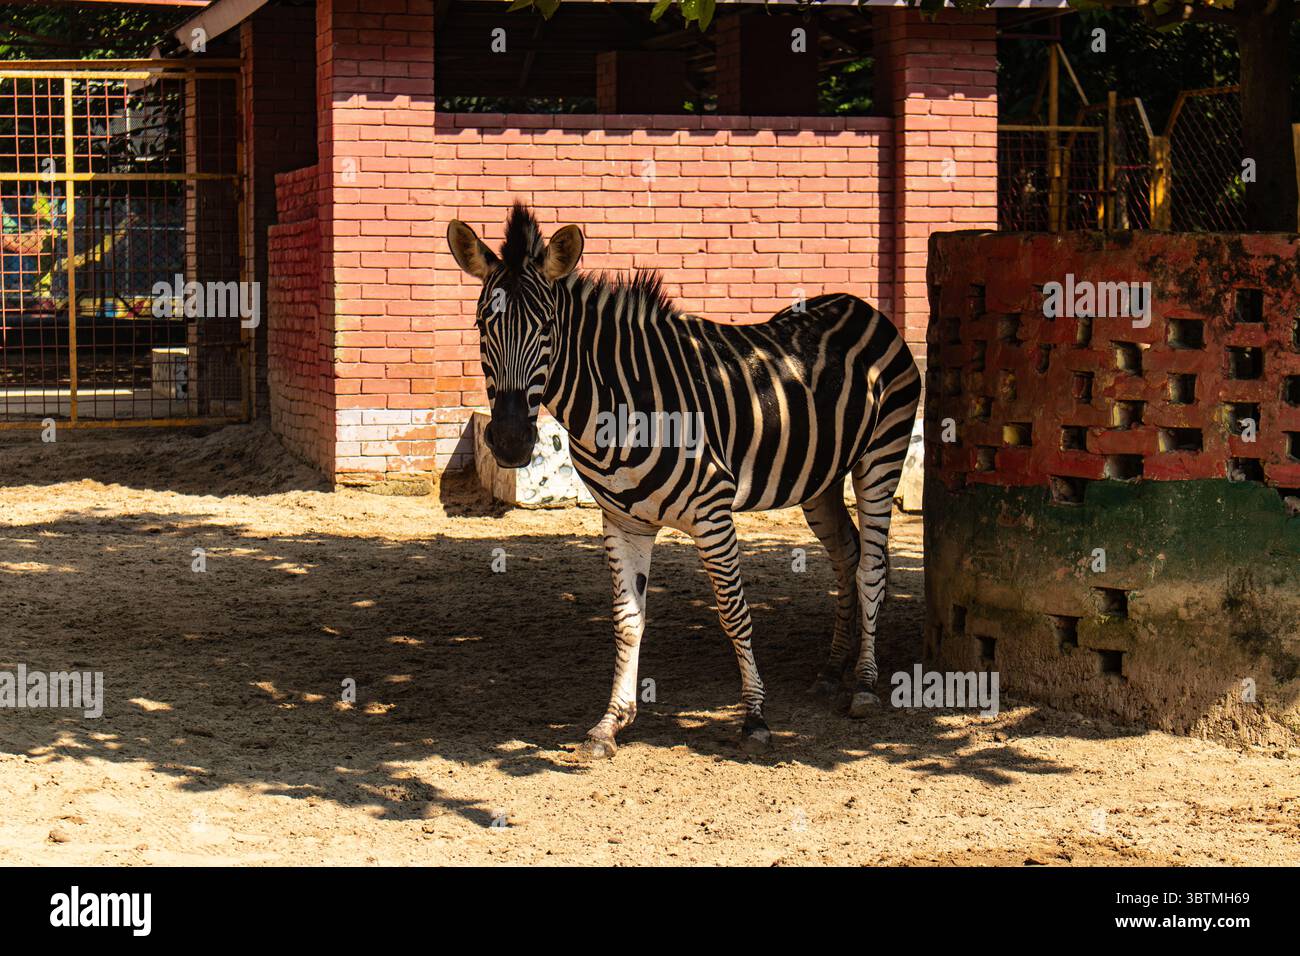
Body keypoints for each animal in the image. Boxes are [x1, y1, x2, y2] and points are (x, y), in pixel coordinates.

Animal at [447, 203, 921, 758]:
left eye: (547, 328)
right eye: (483, 325)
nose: (509, 440)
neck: (618, 402)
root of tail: (860, 304)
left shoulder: (712, 513)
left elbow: (734, 613)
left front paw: (754, 718)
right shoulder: (623, 521)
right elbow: (627, 620)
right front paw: (611, 723)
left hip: (880, 456)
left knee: (871, 566)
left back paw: (864, 684)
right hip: (819, 480)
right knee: (847, 556)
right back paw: (832, 670)